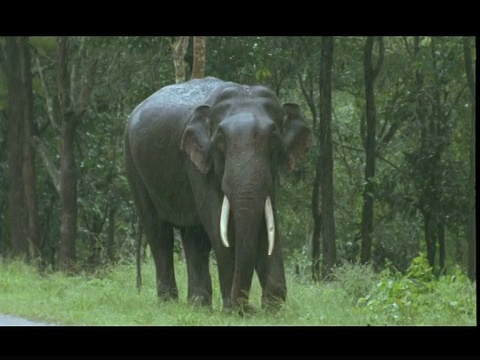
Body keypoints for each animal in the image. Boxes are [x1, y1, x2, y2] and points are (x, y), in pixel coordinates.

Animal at [124, 76, 312, 312]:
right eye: (220, 139)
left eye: (275, 137)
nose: (250, 307)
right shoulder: (197, 162)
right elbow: (218, 224)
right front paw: (236, 311)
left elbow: (268, 224)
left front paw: (273, 309)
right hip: (134, 166)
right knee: (158, 232)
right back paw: (169, 303)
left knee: (194, 236)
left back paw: (198, 306)